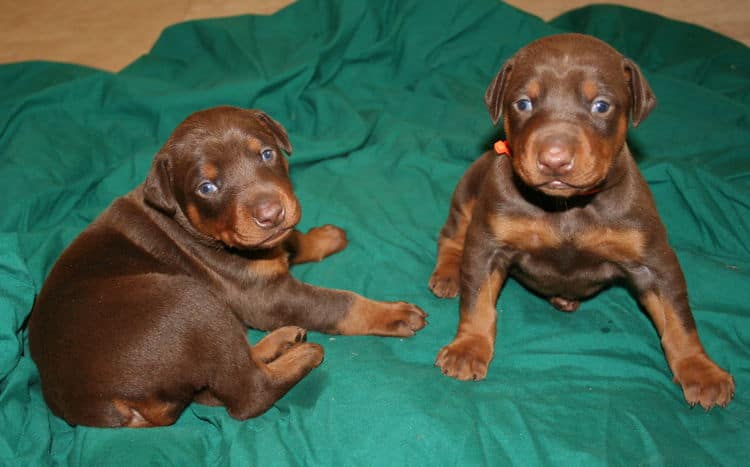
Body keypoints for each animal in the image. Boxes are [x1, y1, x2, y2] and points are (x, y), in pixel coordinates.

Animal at [29, 106, 426, 428]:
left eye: (266, 154)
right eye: (207, 187)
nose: (271, 214)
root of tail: (89, 405)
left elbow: (291, 242)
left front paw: (322, 238)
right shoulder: (268, 297)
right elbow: (338, 303)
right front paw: (392, 313)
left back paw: (281, 341)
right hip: (190, 303)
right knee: (246, 392)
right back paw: (303, 355)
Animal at [432, 33, 736, 410]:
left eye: (601, 106)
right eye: (523, 104)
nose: (554, 159)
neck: (568, 207)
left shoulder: (653, 261)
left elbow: (678, 318)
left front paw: (700, 369)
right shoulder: (489, 243)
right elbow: (477, 302)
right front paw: (468, 347)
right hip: (469, 190)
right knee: (452, 234)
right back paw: (448, 273)